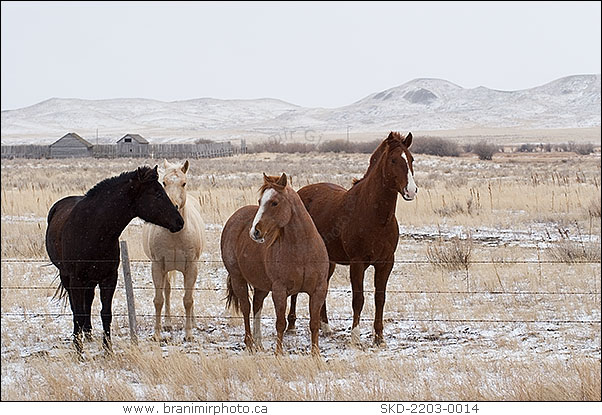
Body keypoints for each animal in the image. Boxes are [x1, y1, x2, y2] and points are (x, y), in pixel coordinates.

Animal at [45, 165, 183, 354]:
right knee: (77, 308)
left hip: (90, 280)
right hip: (67, 276)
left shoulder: (109, 278)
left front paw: (108, 349)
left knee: (89, 301)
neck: (93, 229)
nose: (180, 222)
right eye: (157, 194)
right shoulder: (76, 279)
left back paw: (88, 334)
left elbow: (106, 313)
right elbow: (78, 313)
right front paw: (79, 351)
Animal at [221, 174, 328, 356]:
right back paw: (250, 344)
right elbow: (280, 323)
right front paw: (278, 353)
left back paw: (258, 344)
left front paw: (316, 354)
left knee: (257, 305)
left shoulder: (318, 290)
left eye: (274, 203)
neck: (303, 250)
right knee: (246, 308)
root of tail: (233, 219)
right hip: (238, 279)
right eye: (260, 201)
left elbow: (314, 323)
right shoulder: (280, 290)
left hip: (262, 285)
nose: (254, 232)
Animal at [288, 132, 418, 346]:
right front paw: (355, 336)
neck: (375, 216)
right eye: (393, 160)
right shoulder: (357, 263)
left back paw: (326, 327)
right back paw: (291, 325)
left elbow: (380, 298)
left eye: (411, 159)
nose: (411, 190)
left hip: (329, 261)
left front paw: (379, 337)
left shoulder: (386, 263)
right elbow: (358, 299)